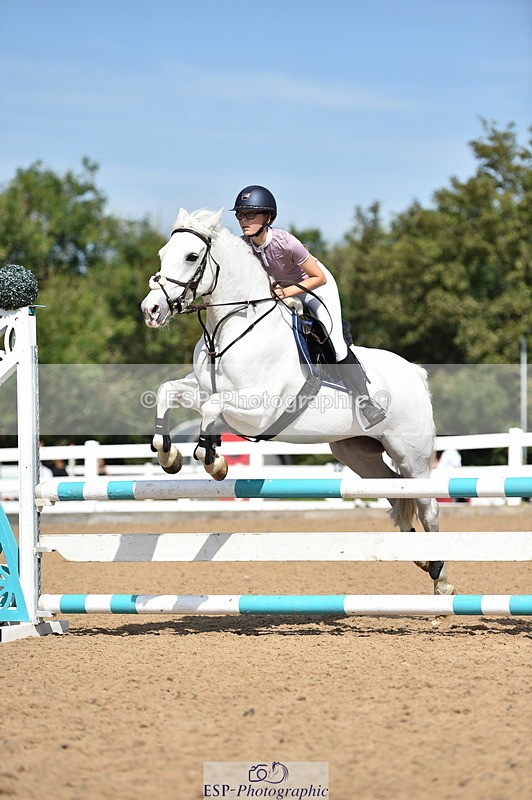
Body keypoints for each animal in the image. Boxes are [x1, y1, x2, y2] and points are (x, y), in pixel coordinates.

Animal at [141, 208, 455, 596]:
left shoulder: (258, 410)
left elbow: (212, 411)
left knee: (427, 504)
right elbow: (168, 391)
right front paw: (169, 456)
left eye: (191, 256)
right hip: (357, 453)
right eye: (162, 254)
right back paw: (422, 559)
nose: (151, 310)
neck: (232, 328)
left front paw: (214, 462)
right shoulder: (206, 391)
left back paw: (441, 577)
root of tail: (415, 372)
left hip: (412, 454)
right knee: (396, 495)